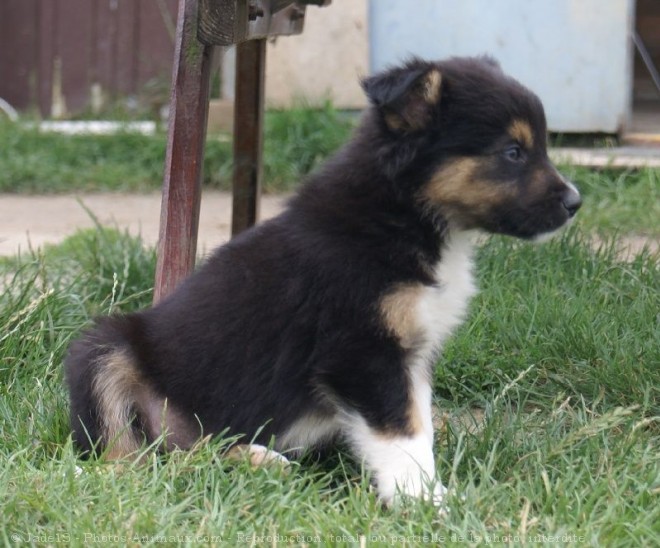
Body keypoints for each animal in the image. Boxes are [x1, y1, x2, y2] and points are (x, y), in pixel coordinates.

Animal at [65, 54, 584, 506]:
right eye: (513, 152)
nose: (575, 202)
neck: (402, 215)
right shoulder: (361, 350)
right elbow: (403, 432)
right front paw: (423, 502)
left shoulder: (410, 354)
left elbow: (420, 425)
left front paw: (428, 493)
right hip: (103, 350)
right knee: (136, 459)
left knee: (183, 456)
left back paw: (257, 460)